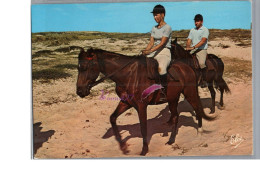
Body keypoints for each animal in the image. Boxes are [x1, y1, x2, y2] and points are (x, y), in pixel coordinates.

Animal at [76, 47, 214, 155]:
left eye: (85, 67)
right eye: (78, 68)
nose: (80, 91)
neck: (128, 75)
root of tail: (187, 67)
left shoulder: (141, 106)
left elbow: (143, 128)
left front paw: (144, 150)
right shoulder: (126, 103)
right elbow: (113, 118)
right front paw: (123, 147)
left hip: (189, 93)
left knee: (197, 108)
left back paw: (200, 132)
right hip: (172, 99)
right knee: (175, 116)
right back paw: (171, 140)